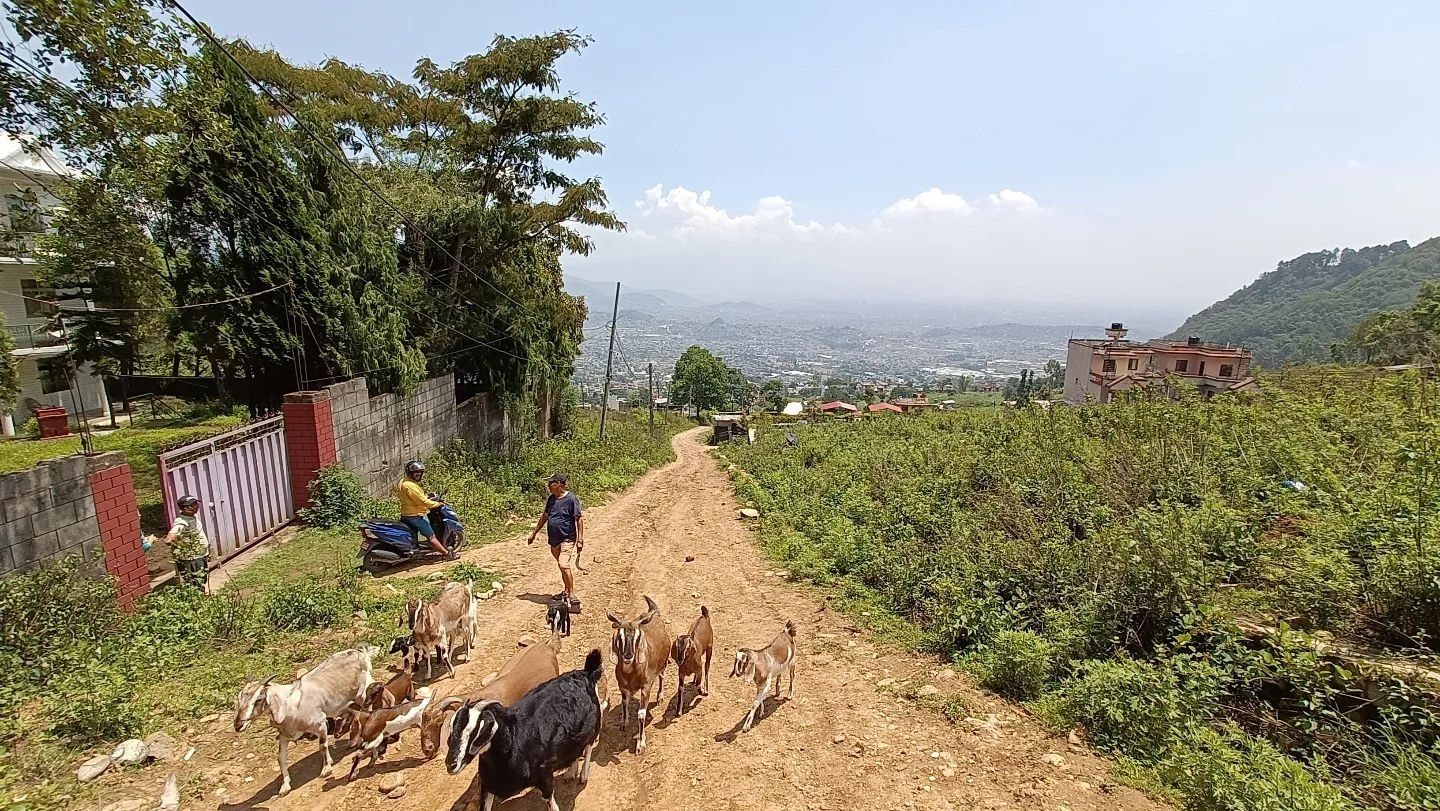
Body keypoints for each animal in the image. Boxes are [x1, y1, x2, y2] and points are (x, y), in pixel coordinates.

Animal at [234, 651, 377, 795]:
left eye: (258, 699)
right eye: (239, 698)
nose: (238, 725)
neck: (291, 705)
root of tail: (360, 653)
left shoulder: (320, 723)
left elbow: (322, 746)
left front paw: (326, 769)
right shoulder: (285, 735)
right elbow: (281, 758)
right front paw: (284, 787)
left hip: (362, 695)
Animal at [443, 651, 601, 811]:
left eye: (478, 730)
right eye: (451, 730)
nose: (451, 765)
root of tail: (586, 672)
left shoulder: (544, 776)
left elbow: (551, 803)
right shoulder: (488, 786)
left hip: (594, 726)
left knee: (588, 747)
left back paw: (583, 776)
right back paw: (570, 772)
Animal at [610, 593, 671, 754]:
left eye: (638, 637)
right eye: (620, 637)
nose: (628, 656)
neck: (631, 673)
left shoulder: (646, 687)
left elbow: (641, 714)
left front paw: (640, 744)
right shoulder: (622, 686)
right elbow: (624, 702)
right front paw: (623, 723)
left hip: (663, 665)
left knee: (662, 677)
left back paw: (660, 697)